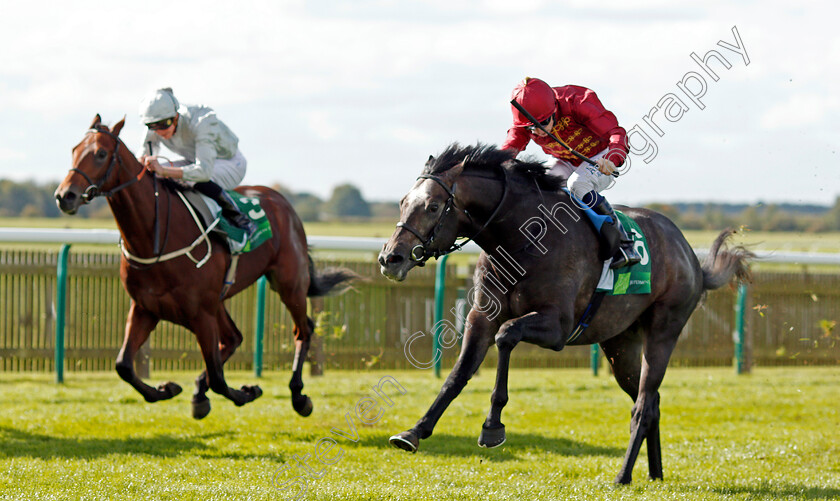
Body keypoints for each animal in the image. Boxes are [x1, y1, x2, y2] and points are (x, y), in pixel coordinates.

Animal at [52, 116, 354, 418]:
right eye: (74, 149)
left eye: (101, 154)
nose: (64, 196)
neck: (154, 239)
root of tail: (283, 203)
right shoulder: (145, 308)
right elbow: (123, 366)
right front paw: (168, 389)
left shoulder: (201, 313)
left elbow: (219, 378)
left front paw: (248, 392)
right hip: (219, 300)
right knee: (234, 338)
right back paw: (200, 390)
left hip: (289, 283)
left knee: (303, 330)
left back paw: (298, 395)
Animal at [378, 143, 752, 482]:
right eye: (402, 202)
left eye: (432, 206)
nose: (389, 258)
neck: (523, 239)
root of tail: (688, 253)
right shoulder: (480, 318)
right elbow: (458, 374)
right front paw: (413, 432)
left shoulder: (557, 326)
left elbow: (507, 335)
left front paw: (492, 426)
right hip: (620, 343)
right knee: (651, 401)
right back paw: (654, 474)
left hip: (664, 330)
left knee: (645, 404)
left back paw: (622, 476)